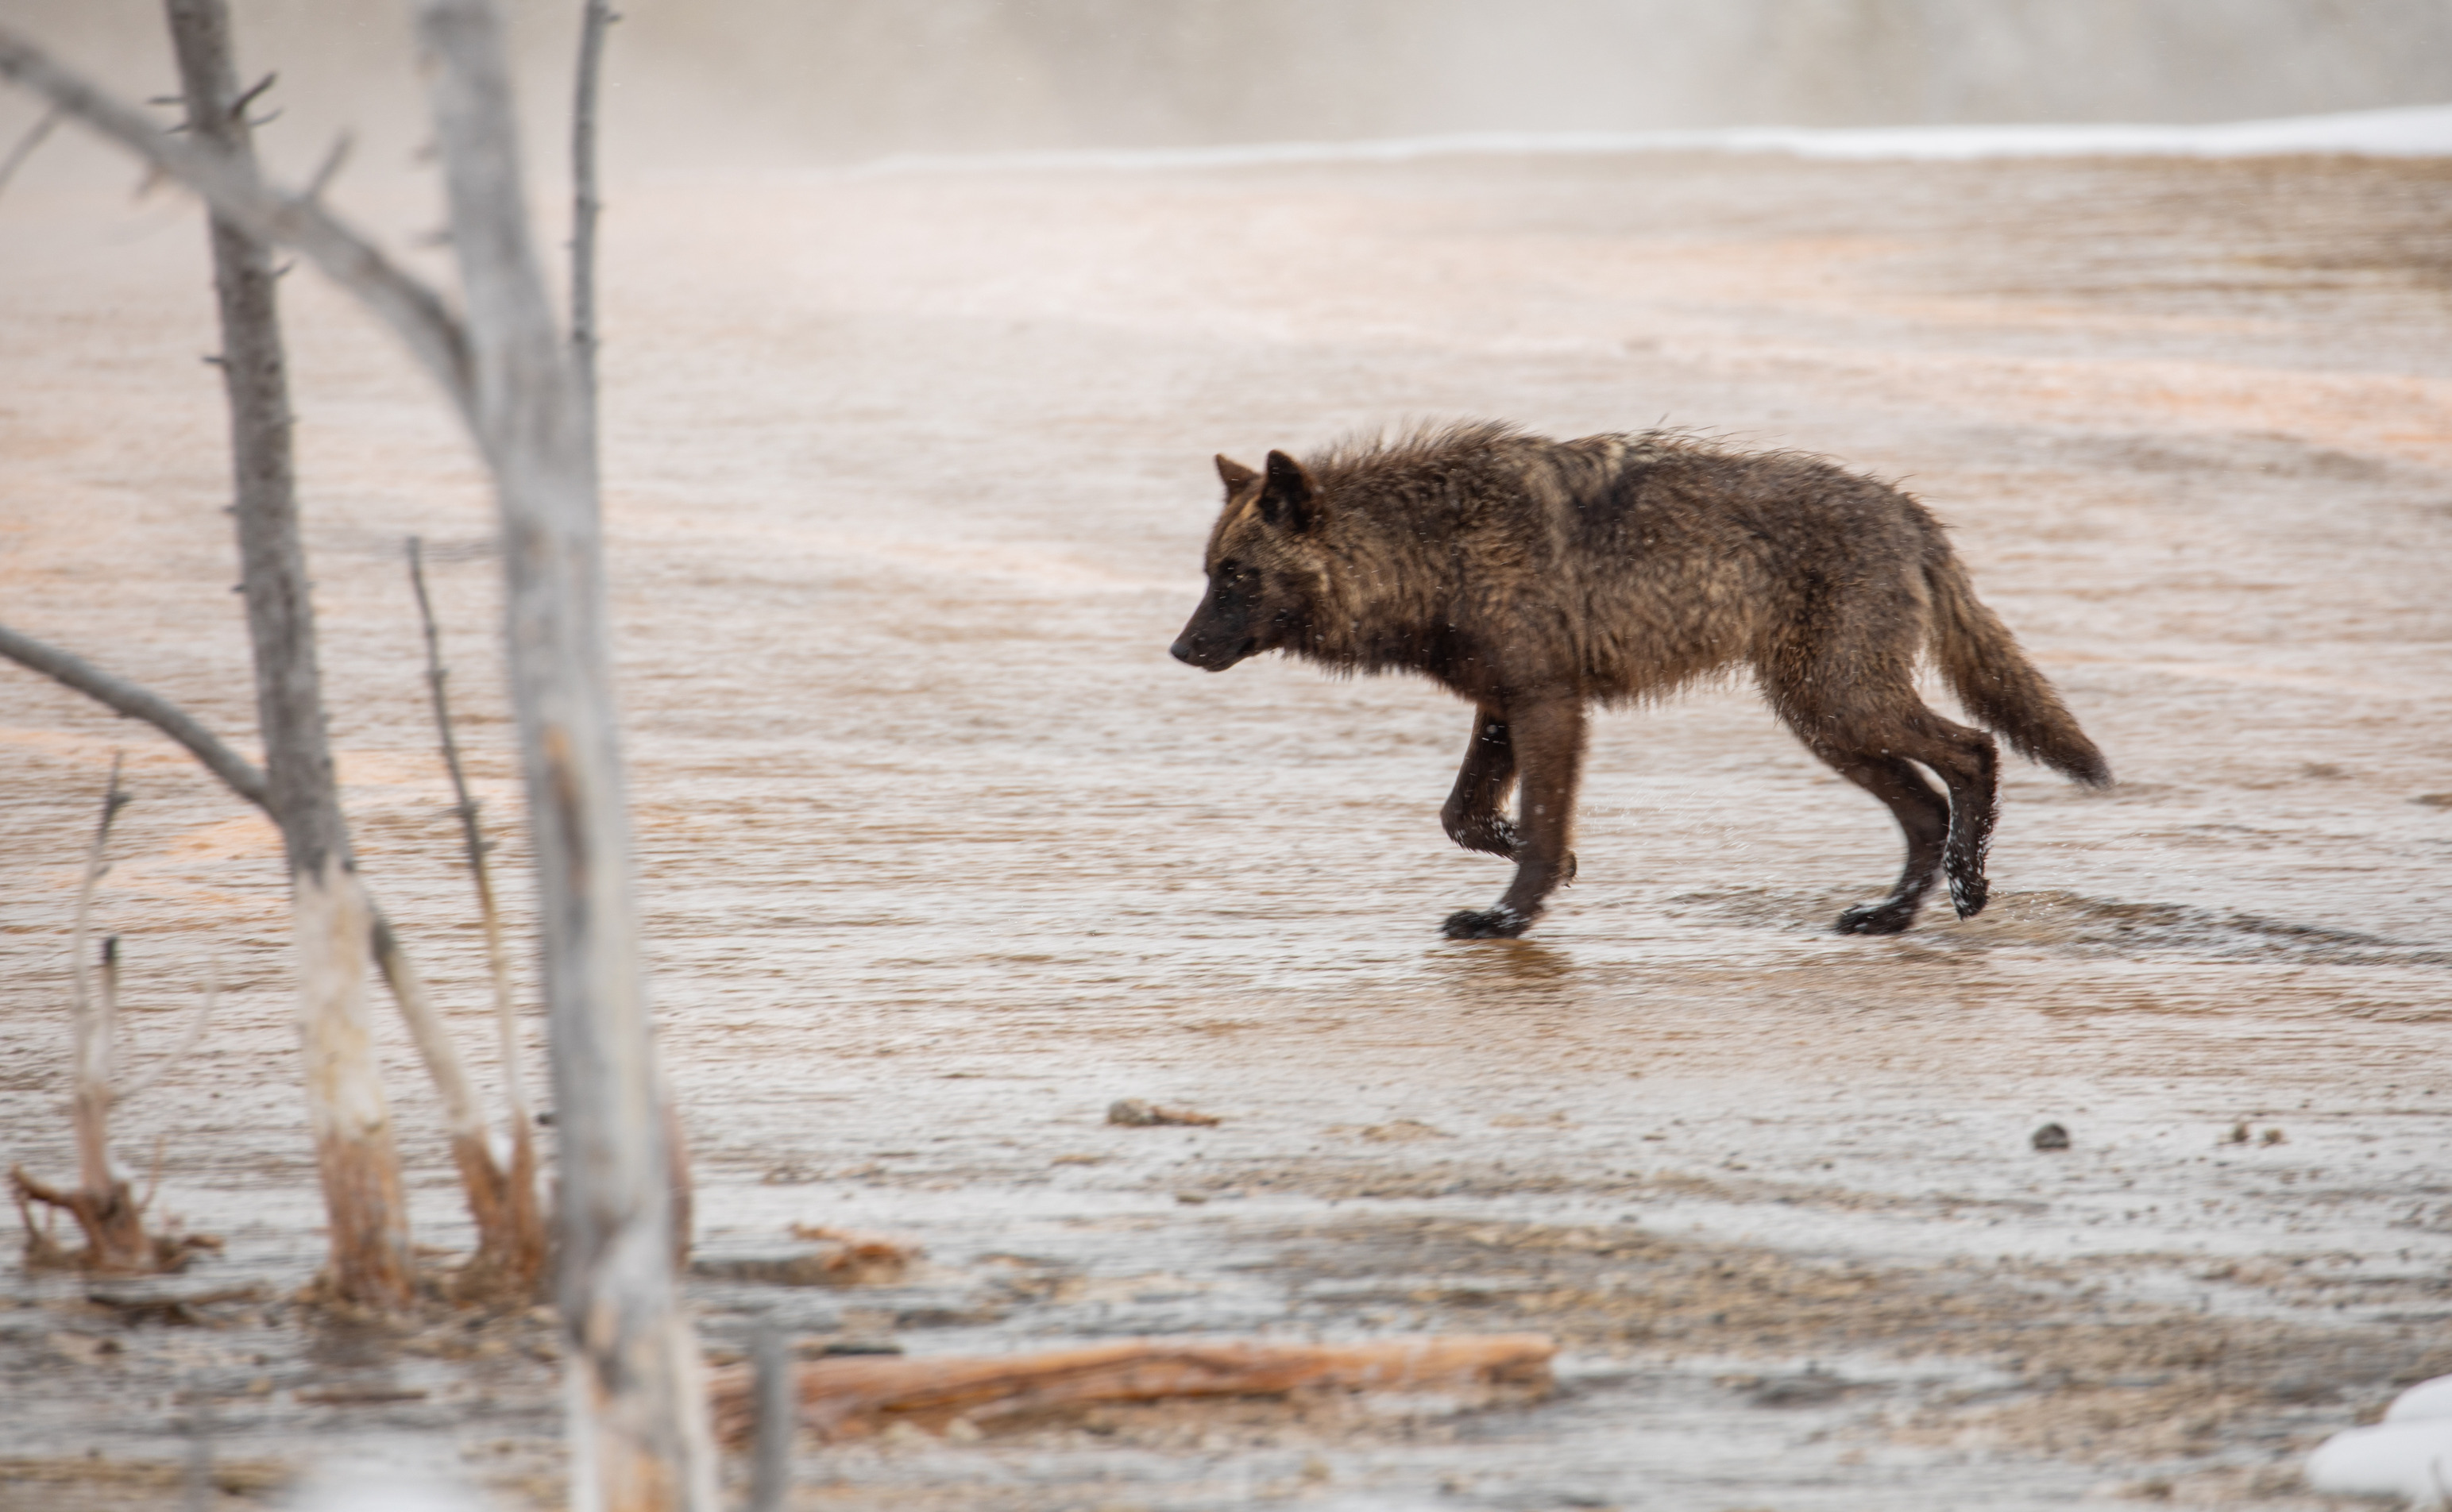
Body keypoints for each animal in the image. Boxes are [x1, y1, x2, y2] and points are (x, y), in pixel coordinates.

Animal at [1169, 422, 2110, 940]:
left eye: (1237, 576)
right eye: (1209, 572)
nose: (1179, 651)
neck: (1431, 549)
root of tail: (1908, 509)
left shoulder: (1550, 705)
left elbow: (1533, 825)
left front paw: (1508, 917)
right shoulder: (1504, 707)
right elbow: (1467, 817)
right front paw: (1553, 870)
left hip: (1840, 707)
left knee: (1974, 752)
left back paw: (1968, 889)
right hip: (1824, 721)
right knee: (1926, 806)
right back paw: (1889, 916)